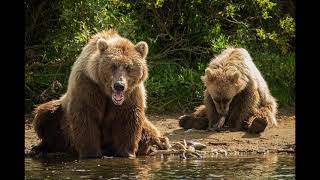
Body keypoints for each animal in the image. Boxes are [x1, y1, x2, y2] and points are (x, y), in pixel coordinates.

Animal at [31, 29, 170, 159]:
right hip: (60, 119)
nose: (119, 85)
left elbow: (129, 119)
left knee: (147, 128)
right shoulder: (88, 86)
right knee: (44, 113)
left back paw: (159, 142)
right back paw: (41, 147)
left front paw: (126, 152)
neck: (106, 91)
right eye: (113, 65)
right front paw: (91, 153)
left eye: (129, 67)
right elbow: (86, 116)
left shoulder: (132, 94)